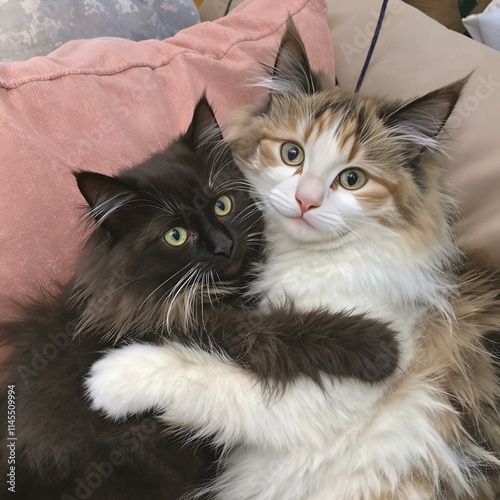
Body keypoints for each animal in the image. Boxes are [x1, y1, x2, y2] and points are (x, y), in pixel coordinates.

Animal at [0, 94, 398, 500]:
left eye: (222, 204)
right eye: (175, 235)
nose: (224, 245)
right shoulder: (205, 326)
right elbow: (284, 331)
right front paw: (377, 347)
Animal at [87, 20, 500, 500]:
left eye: (352, 179)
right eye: (292, 154)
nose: (306, 201)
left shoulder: (319, 408)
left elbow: (211, 373)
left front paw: (112, 376)